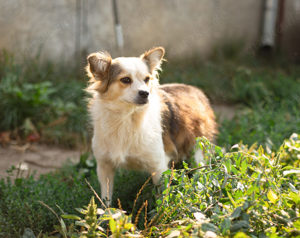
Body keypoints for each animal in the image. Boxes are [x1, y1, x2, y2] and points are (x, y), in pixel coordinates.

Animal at [85, 47, 217, 205]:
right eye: (125, 80)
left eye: (147, 79)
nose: (145, 93)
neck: (127, 118)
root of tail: (196, 90)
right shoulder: (104, 167)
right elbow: (106, 199)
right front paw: (105, 212)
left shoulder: (159, 166)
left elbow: (162, 199)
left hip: (199, 146)